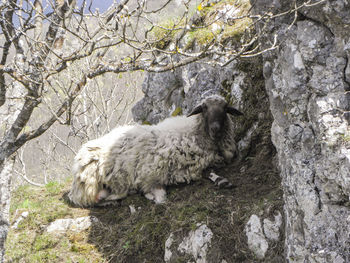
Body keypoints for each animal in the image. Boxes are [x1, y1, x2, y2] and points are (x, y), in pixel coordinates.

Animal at [68, 95, 243, 208]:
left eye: (225, 109)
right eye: (204, 108)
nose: (216, 129)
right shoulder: (155, 171)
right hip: (91, 183)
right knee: (95, 200)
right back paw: (113, 201)